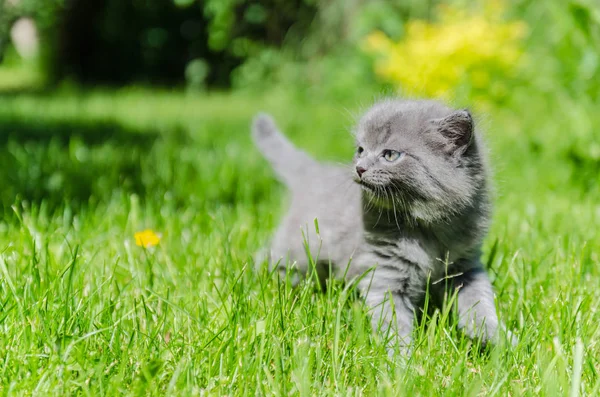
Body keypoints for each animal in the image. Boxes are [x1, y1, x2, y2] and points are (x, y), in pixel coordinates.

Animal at [252, 99, 510, 352]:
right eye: (361, 150)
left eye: (391, 155)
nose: (359, 167)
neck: (425, 228)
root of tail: (314, 171)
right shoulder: (385, 274)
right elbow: (394, 322)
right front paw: (402, 358)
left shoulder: (465, 266)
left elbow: (480, 301)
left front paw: (495, 338)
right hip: (297, 249)